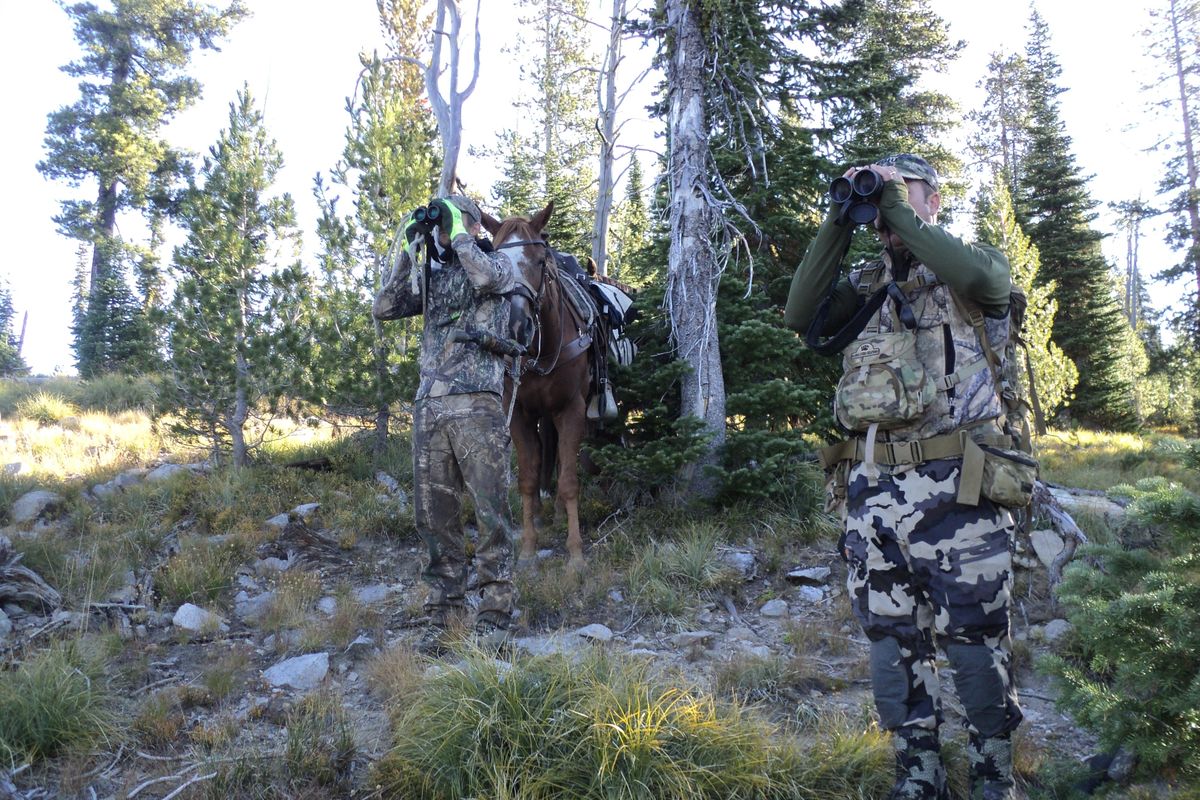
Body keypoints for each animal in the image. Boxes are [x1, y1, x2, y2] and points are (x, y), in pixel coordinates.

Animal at [477, 203, 590, 573]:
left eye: (541, 262)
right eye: (494, 260)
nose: (515, 326)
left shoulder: (572, 408)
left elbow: (569, 480)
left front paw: (575, 554)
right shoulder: (518, 413)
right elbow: (526, 478)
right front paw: (527, 550)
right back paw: (540, 514)